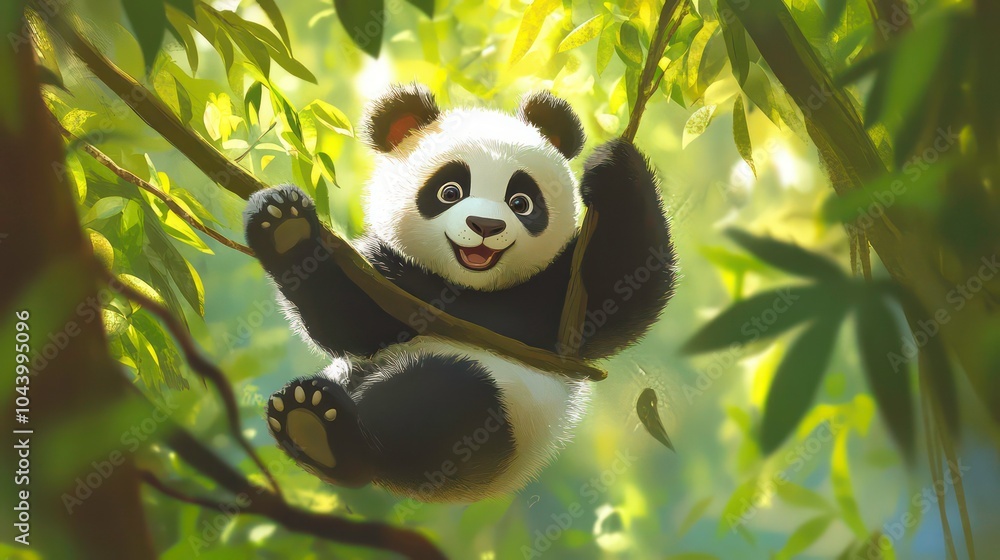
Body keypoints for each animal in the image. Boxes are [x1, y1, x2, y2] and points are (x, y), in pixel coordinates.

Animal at [243, 84, 675, 502]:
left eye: (521, 202)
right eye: (449, 191)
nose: (485, 225)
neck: (468, 290)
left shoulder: (555, 297)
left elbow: (623, 293)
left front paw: (614, 170)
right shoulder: (392, 274)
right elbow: (348, 324)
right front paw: (285, 226)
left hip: (501, 423)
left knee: (441, 397)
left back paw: (322, 432)